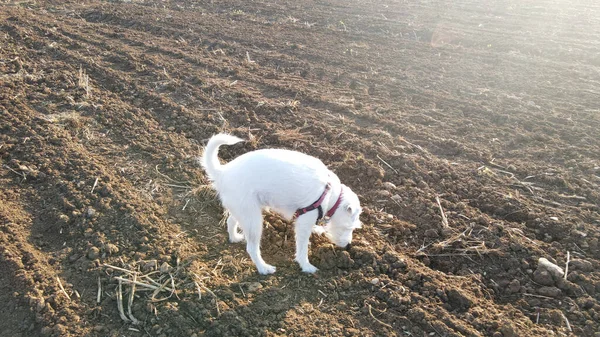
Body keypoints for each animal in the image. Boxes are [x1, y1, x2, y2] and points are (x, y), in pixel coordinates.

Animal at [200, 132, 360, 272]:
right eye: (349, 228)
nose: (348, 246)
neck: (331, 194)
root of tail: (222, 172)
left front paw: (318, 230)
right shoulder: (304, 222)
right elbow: (302, 247)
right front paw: (306, 266)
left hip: (243, 210)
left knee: (230, 221)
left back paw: (234, 238)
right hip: (253, 220)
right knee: (251, 248)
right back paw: (263, 268)